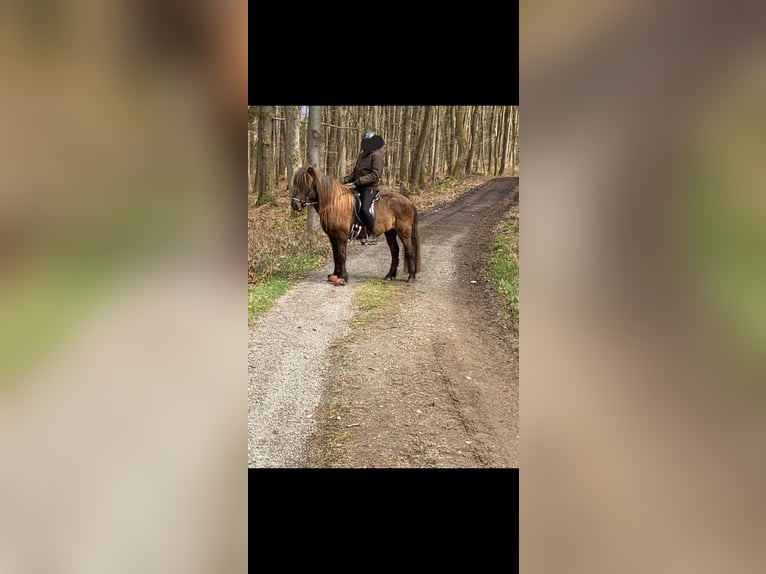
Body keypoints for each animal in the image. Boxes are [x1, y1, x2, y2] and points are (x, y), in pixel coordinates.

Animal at [291, 165, 421, 285]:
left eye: (306, 185)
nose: (295, 205)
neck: (334, 204)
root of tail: (408, 202)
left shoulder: (341, 236)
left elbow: (342, 255)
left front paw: (343, 278)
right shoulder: (332, 236)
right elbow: (335, 256)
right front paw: (335, 275)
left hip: (404, 231)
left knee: (409, 250)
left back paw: (411, 277)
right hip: (390, 232)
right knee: (395, 251)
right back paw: (390, 275)